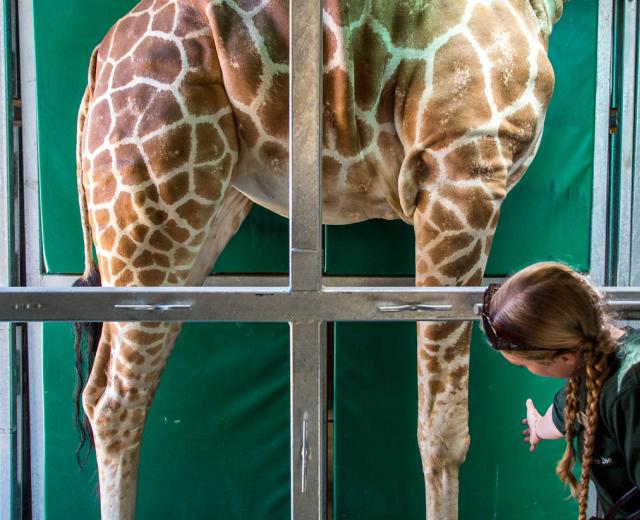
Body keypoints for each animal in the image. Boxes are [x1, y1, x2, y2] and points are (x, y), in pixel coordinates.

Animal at [74, 0, 562, 518]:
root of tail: (100, 57)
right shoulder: (462, 169)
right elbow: (444, 432)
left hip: (198, 210)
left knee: (105, 388)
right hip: (156, 195)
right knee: (115, 402)